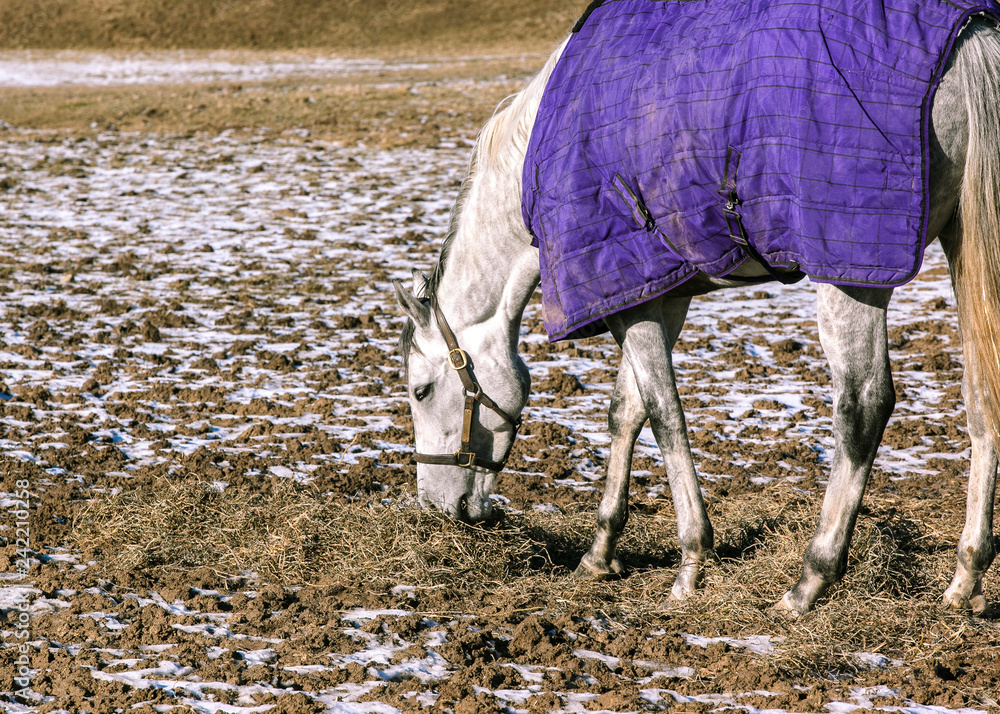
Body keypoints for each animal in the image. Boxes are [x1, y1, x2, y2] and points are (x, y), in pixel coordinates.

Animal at [393, 9, 1000, 617]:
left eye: (421, 390)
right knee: (982, 399)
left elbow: (663, 414)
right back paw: (965, 578)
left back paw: (811, 578)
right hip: (962, 246)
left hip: (851, 275)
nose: (435, 507)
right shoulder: (658, 293)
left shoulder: (630, 294)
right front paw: (600, 551)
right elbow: (626, 411)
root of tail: (967, 35)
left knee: (863, 408)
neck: (534, 160)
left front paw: (690, 563)